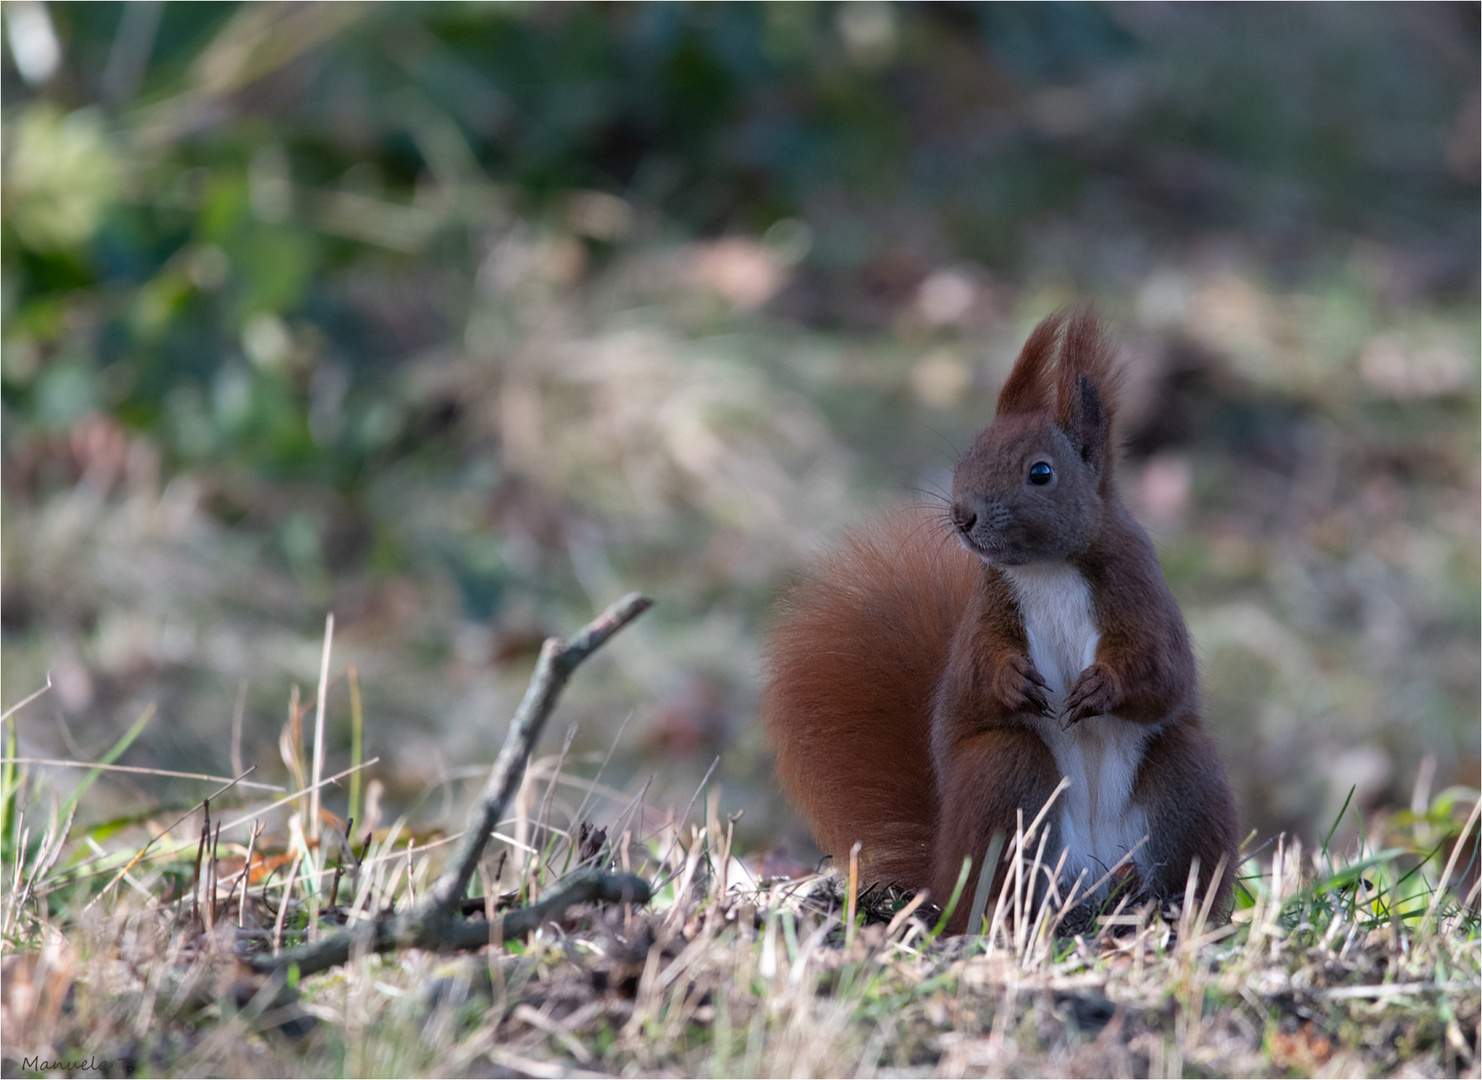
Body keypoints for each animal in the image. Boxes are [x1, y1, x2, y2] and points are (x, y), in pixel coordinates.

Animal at [764, 309, 1238, 924]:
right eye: (968, 455)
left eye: (1041, 473)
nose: (963, 516)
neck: (1047, 569)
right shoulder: (987, 613)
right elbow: (974, 677)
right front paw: (1012, 682)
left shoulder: (1141, 592)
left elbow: (1164, 673)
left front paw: (1101, 688)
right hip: (1003, 772)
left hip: (1187, 781)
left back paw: (1158, 903)